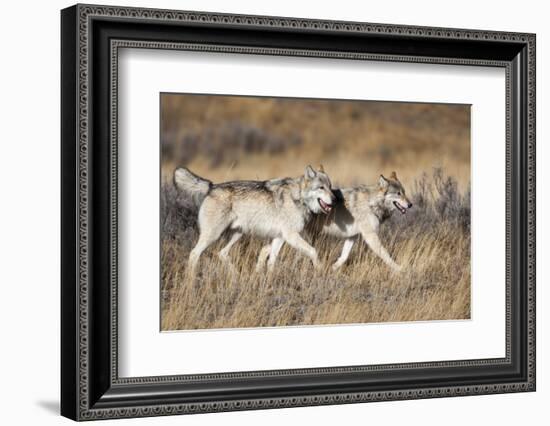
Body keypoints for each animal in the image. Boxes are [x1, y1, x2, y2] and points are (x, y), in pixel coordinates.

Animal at [175, 165, 336, 272]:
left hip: (237, 234)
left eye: (330, 186)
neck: (298, 197)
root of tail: (212, 186)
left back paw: (236, 277)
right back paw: (191, 282)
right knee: (194, 254)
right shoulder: (290, 236)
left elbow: (270, 261)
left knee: (222, 253)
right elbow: (313, 251)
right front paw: (320, 270)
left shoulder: (280, 237)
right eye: (321, 187)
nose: (335, 199)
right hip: (213, 235)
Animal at [256, 171, 412, 272]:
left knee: (265, 249)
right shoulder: (370, 236)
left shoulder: (352, 236)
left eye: (404, 192)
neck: (371, 203)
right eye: (398, 194)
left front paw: (333, 268)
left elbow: (344, 256)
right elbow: (385, 254)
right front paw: (399, 268)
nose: (410, 204)